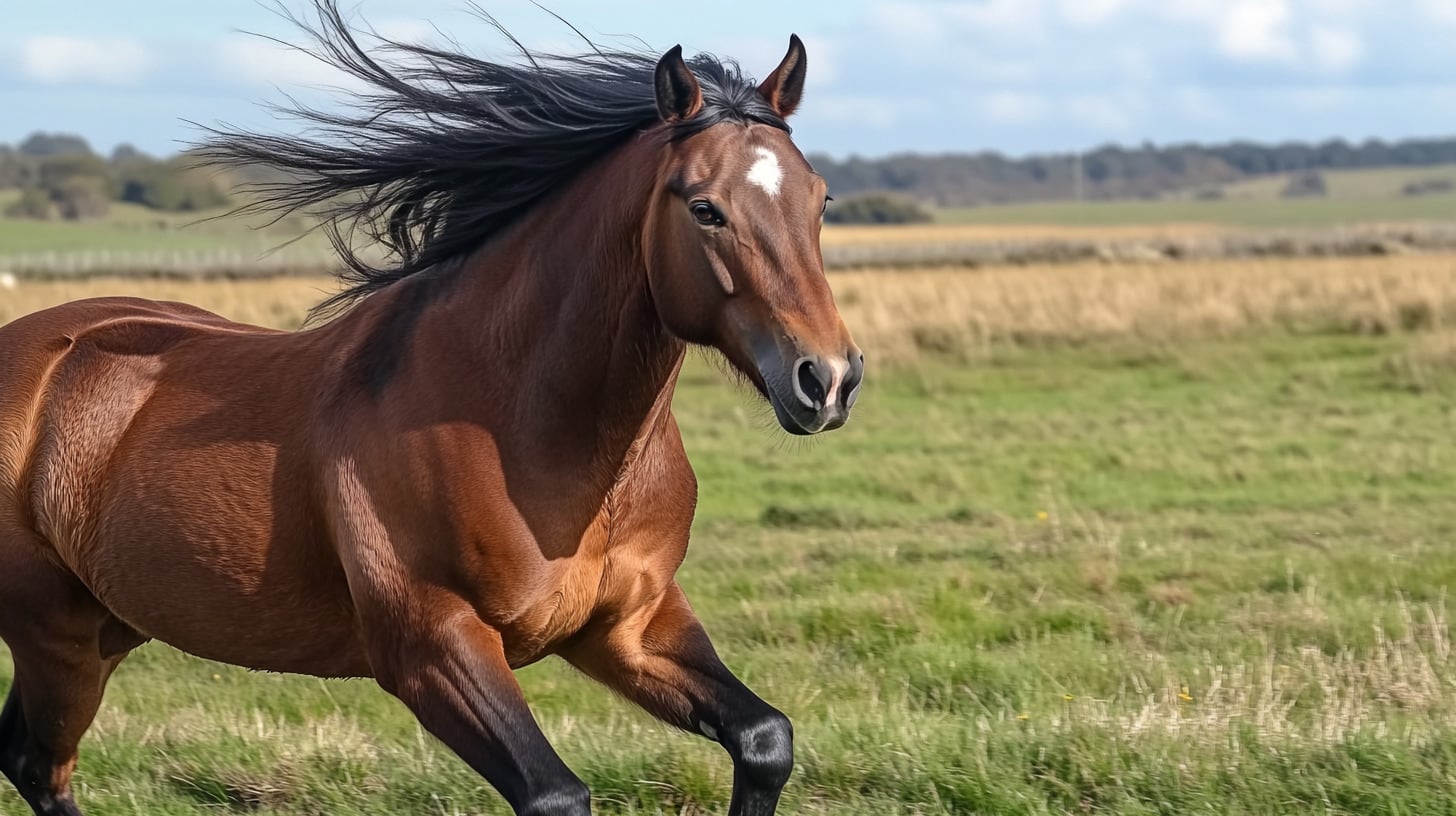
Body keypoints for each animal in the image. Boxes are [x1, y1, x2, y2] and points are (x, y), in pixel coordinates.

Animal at [0, 4, 862, 815]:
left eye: (820, 199)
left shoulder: (629, 628)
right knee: (39, 764)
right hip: (56, 635)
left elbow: (765, 738)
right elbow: (556, 793)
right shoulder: (432, 647)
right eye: (705, 209)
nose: (827, 379)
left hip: (108, 625)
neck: (523, 432)